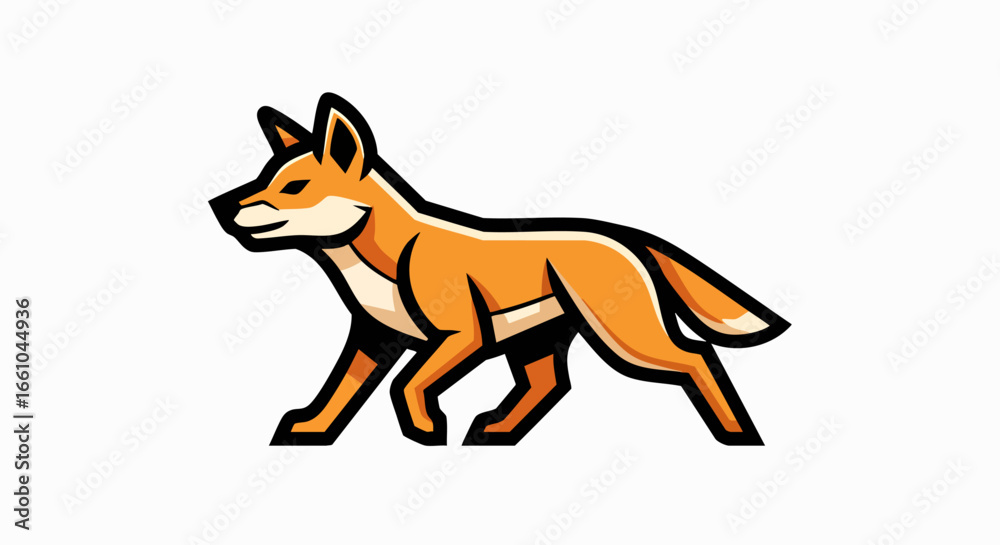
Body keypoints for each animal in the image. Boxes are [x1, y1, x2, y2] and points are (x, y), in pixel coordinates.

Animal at [210, 93, 789, 447]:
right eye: (263, 178)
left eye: (292, 188)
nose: (219, 206)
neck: (376, 257)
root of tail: (625, 236)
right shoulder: (374, 338)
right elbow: (341, 392)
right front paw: (311, 428)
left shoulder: (459, 336)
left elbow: (407, 384)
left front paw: (426, 428)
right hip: (536, 341)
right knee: (548, 385)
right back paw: (497, 429)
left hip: (626, 338)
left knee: (698, 358)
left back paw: (738, 435)